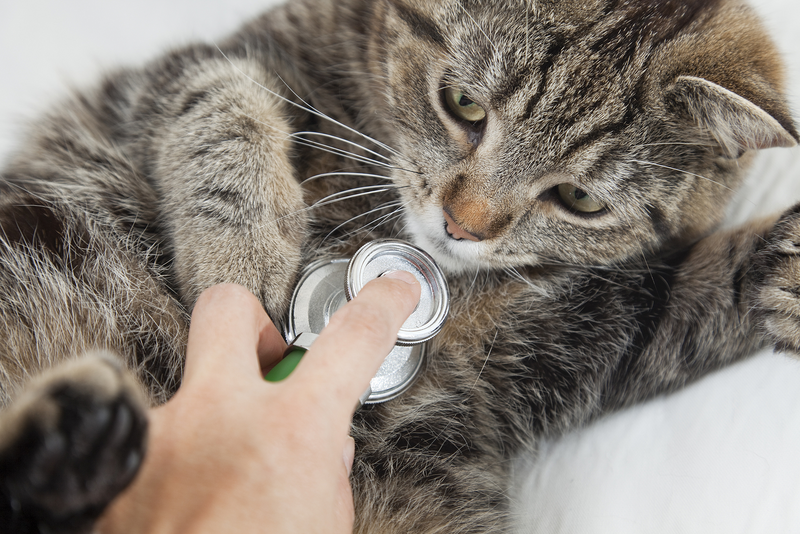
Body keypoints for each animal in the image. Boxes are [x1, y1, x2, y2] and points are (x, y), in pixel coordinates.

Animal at [1, 0, 800, 532]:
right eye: (463, 103)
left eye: (577, 198)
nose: (461, 225)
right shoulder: (173, 74)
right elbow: (219, 100)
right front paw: (241, 257)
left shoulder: (586, 332)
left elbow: (689, 297)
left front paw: (783, 270)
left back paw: (77, 446)